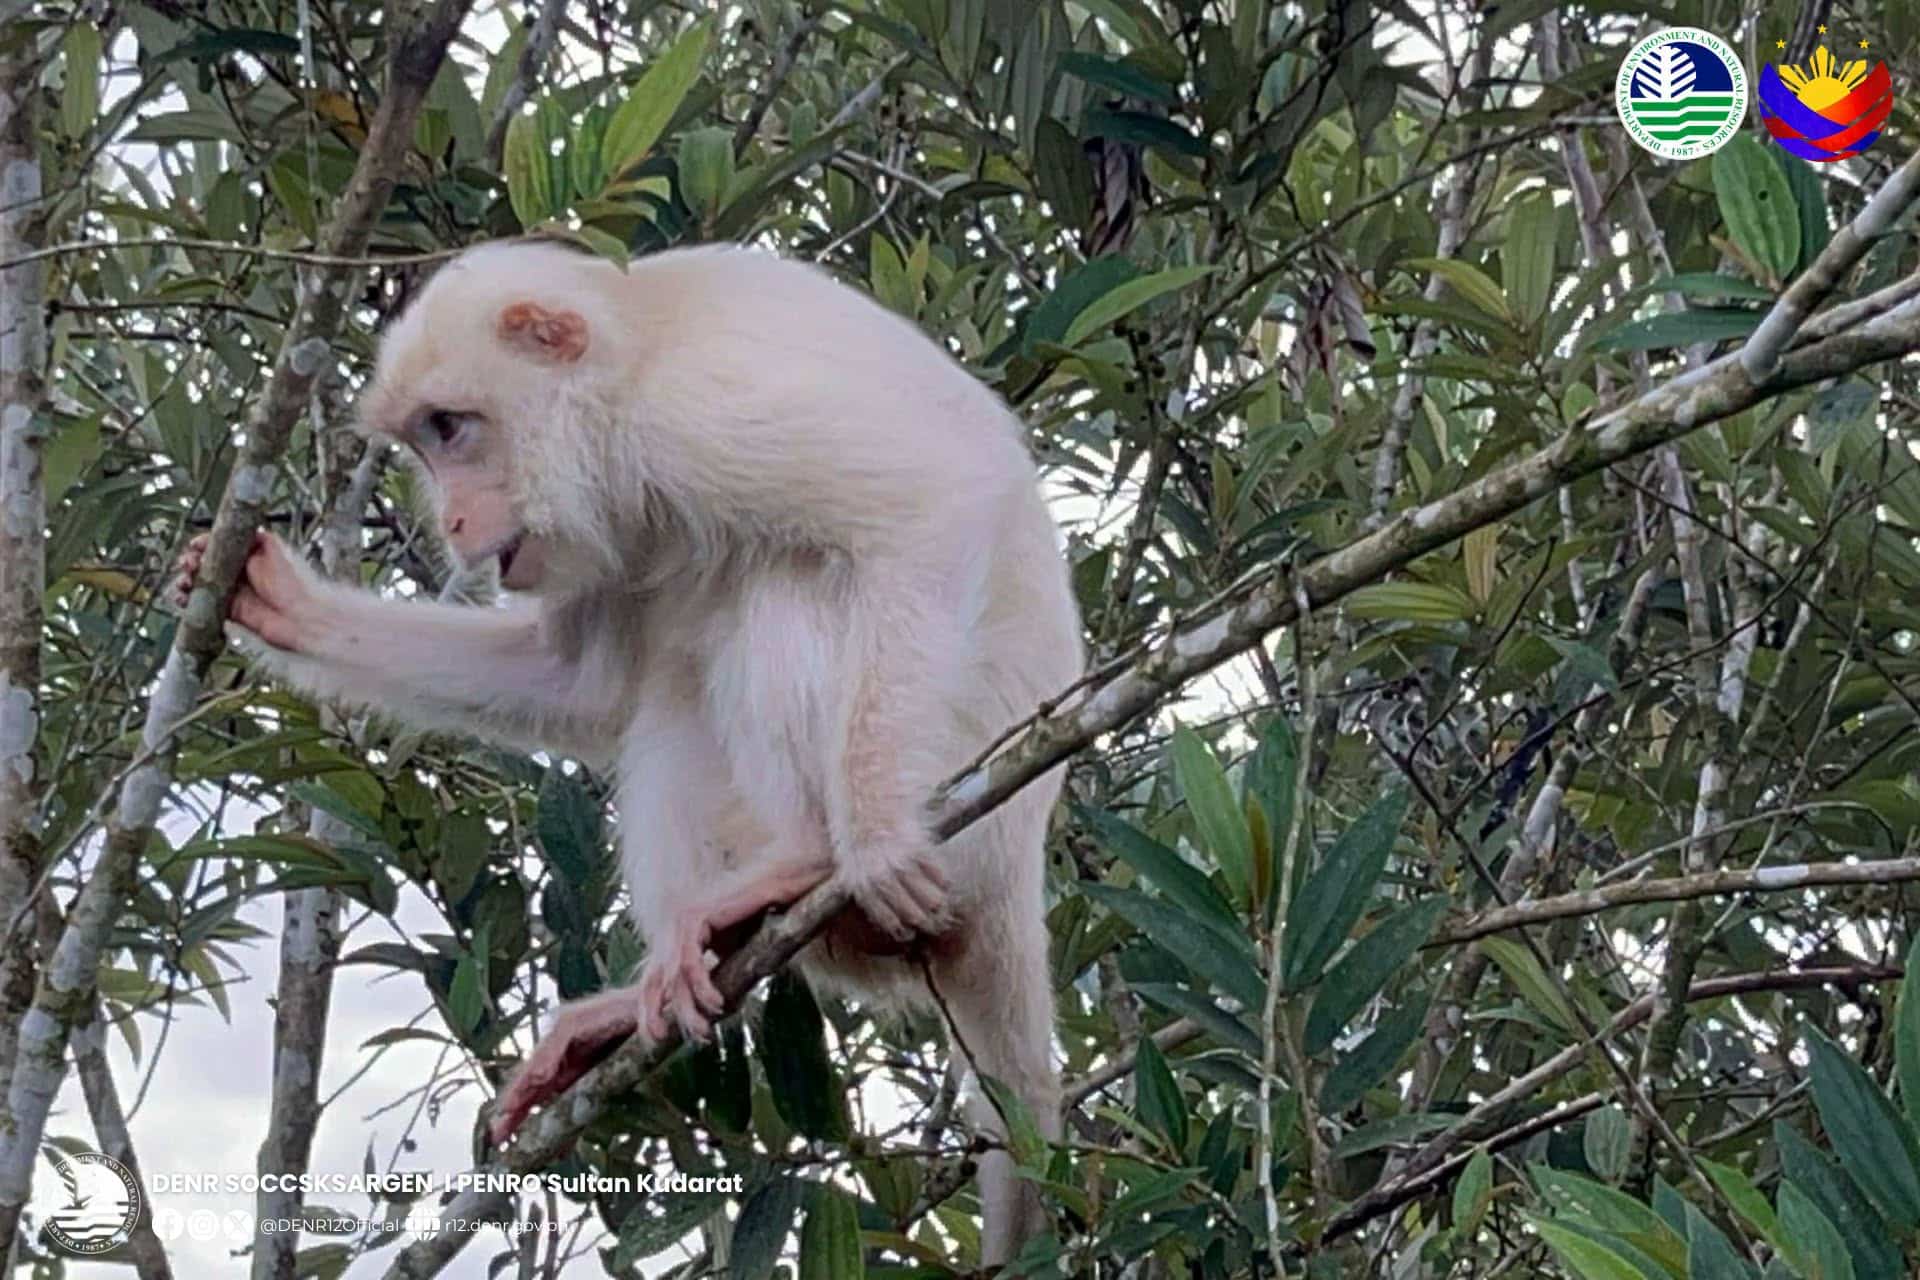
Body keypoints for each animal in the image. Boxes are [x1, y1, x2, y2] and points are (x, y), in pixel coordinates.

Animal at [173, 240, 1083, 1266]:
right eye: (421, 442)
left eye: (450, 429)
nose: (451, 522)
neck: (624, 373)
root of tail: (1016, 878)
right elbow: (581, 685)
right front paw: (287, 606)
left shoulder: (701, 412)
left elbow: (934, 503)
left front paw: (879, 839)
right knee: (674, 693)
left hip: (964, 802)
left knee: (790, 583)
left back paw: (814, 857)